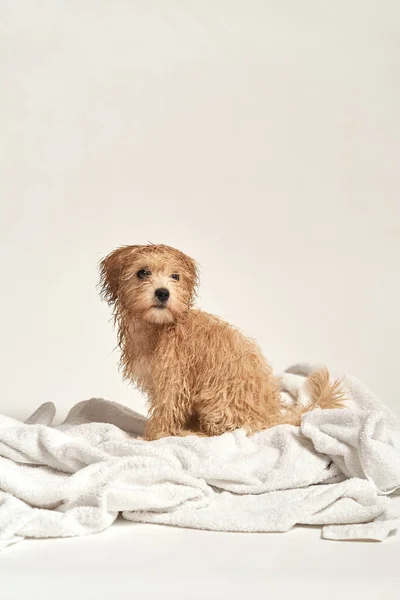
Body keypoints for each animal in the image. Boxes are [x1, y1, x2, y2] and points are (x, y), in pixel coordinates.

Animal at [99, 244, 344, 440]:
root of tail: (269, 417)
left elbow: (166, 412)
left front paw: (151, 438)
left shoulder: (174, 381)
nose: (163, 293)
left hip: (216, 404)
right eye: (143, 272)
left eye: (175, 276)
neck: (159, 327)